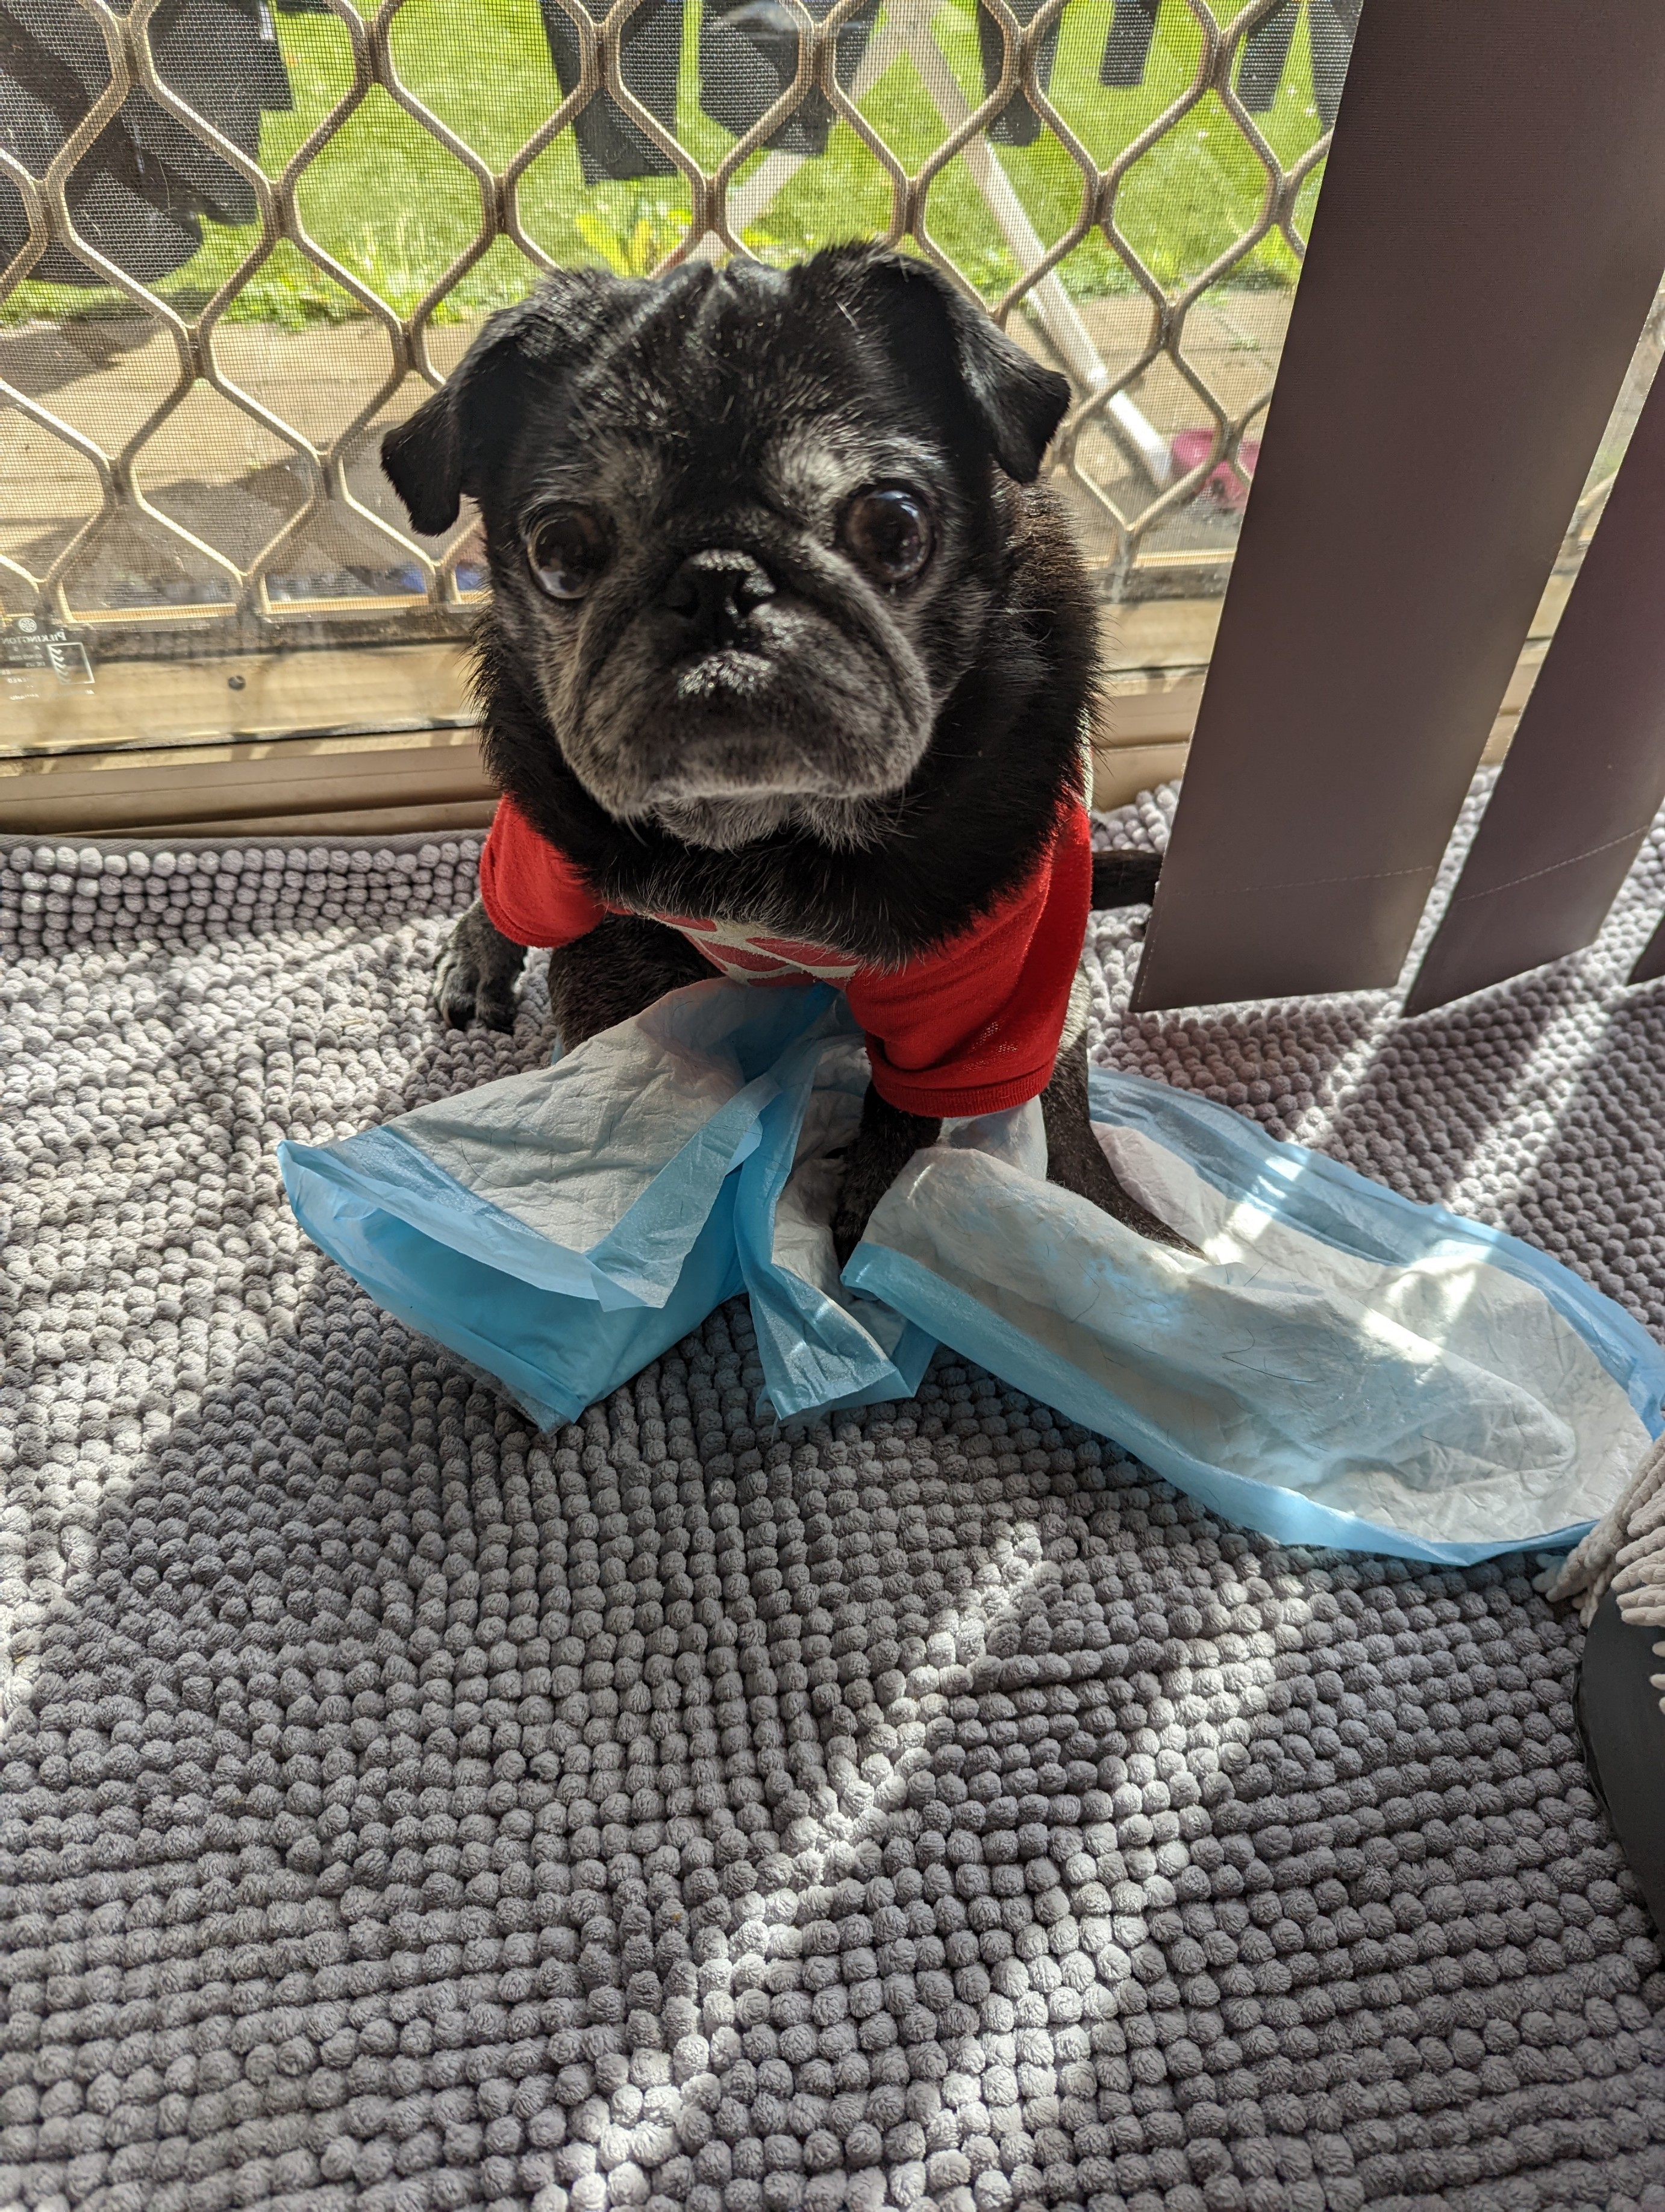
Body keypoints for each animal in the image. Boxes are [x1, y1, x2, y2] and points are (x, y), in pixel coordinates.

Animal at [381, 244, 1179, 1262]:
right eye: (559, 551)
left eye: (895, 527)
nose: (718, 583)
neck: (768, 831)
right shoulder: (603, 926)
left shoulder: (975, 996)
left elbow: (905, 1117)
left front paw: (871, 1229)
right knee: (509, 889)